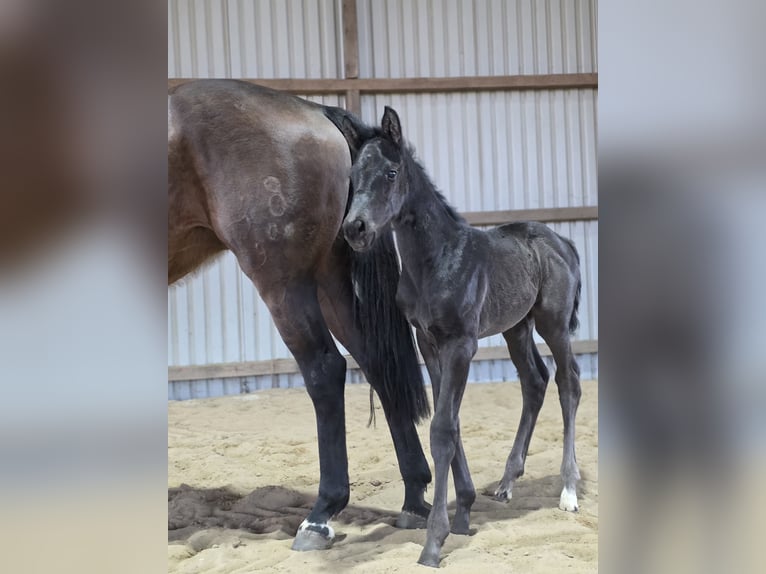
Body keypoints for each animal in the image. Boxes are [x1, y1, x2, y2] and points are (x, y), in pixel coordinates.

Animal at [167, 80, 433, 551]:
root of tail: (316, 112)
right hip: (331, 281)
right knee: (376, 365)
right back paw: (415, 498)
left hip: (284, 284)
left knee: (325, 369)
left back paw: (320, 516)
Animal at [334, 106, 583, 567]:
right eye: (353, 176)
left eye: (392, 172)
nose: (355, 228)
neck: (436, 260)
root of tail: (562, 241)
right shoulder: (429, 344)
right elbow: (449, 422)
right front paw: (465, 511)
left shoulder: (461, 344)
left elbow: (443, 430)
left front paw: (434, 541)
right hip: (516, 327)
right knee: (535, 382)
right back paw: (506, 483)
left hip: (552, 323)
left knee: (569, 382)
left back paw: (569, 491)